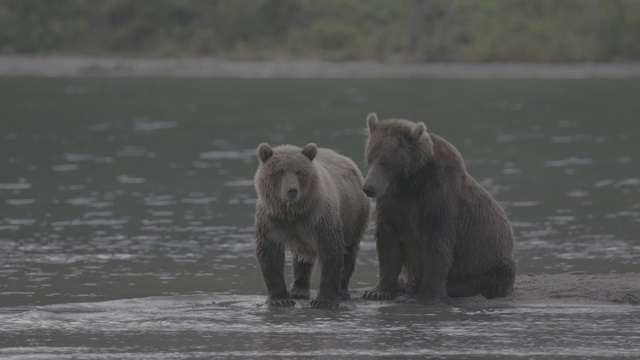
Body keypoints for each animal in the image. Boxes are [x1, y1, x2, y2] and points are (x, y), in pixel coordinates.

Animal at [252, 142, 368, 308]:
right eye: (280, 171)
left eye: (299, 171)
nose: (292, 190)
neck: (293, 212)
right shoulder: (271, 221)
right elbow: (270, 254)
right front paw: (280, 299)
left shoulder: (320, 219)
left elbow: (331, 252)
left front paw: (324, 300)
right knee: (302, 260)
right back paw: (298, 290)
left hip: (354, 214)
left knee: (349, 251)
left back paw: (342, 290)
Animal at [360, 113, 516, 304]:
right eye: (369, 158)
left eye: (384, 161)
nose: (369, 188)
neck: (409, 182)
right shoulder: (393, 203)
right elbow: (389, 243)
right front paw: (377, 291)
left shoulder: (437, 195)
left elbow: (436, 242)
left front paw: (426, 295)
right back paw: (408, 282)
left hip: (491, 261)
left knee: (494, 276)